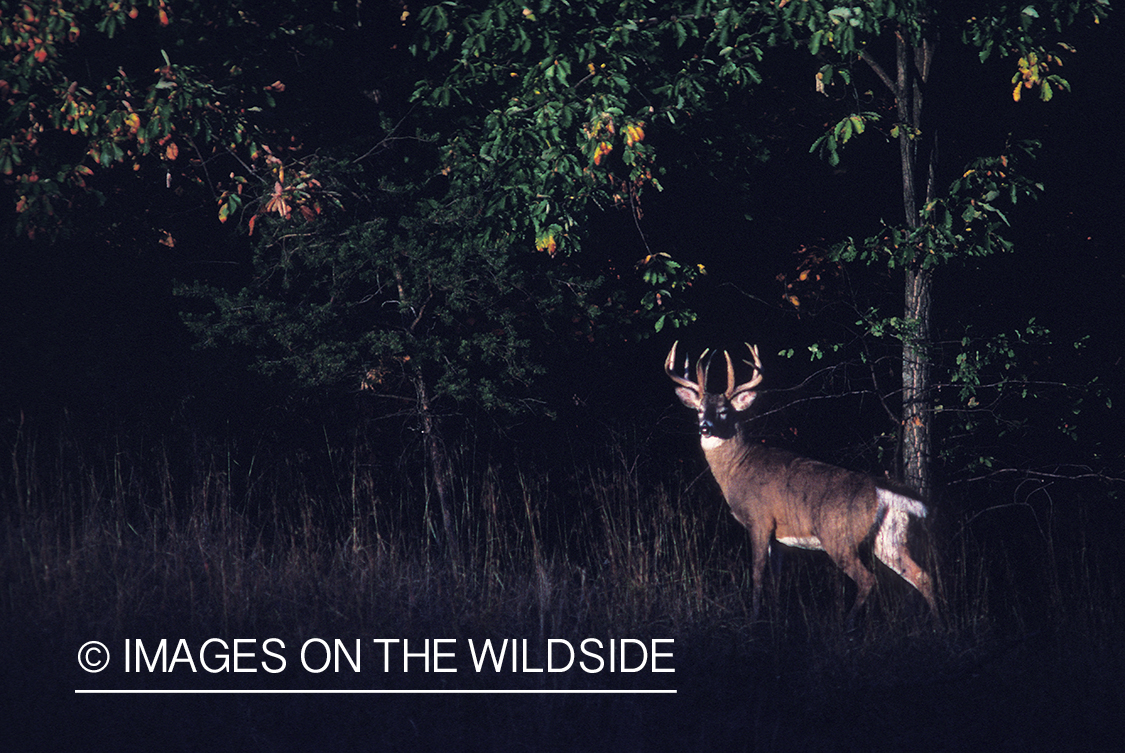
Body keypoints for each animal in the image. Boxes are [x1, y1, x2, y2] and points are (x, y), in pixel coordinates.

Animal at [665, 341, 939, 624]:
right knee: (921, 576)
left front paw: (754, 619)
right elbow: (776, 578)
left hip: (838, 536)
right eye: (699, 410)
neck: (737, 467)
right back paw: (940, 625)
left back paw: (848, 624)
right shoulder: (778, 535)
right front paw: (776, 617)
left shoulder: (759, 519)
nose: (705, 428)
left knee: (868, 580)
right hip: (887, 537)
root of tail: (879, 491)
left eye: (723, 412)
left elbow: (757, 574)